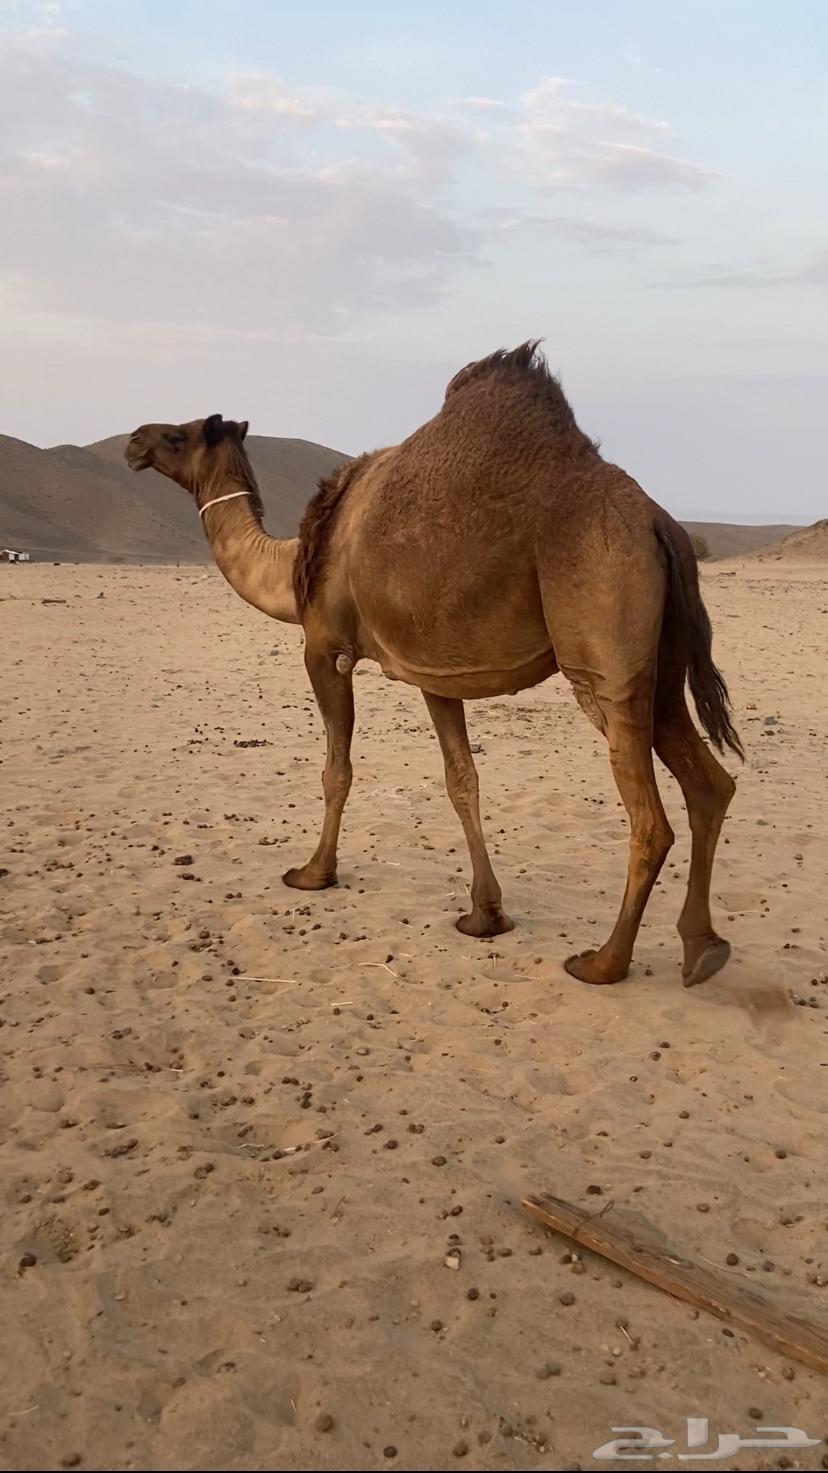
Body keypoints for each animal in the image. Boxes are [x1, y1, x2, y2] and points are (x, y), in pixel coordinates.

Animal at [125, 342, 742, 986]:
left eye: (176, 435)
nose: (134, 439)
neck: (294, 562)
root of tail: (657, 523)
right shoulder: (435, 672)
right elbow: (461, 779)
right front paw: (485, 914)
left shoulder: (324, 648)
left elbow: (336, 769)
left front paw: (314, 872)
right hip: (662, 673)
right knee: (710, 784)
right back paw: (703, 948)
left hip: (603, 665)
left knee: (650, 819)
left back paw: (604, 961)